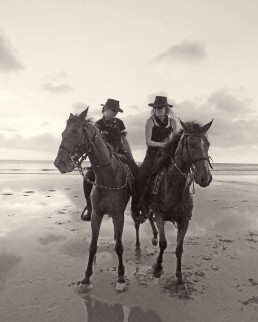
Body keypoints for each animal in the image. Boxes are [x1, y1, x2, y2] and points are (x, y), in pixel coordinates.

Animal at [54, 108, 135, 292]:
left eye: (75, 131)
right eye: (63, 133)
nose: (59, 163)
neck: (108, 178)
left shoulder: (119, 215)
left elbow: (119, 247)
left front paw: (120, 278)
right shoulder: (96, 215)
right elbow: (92, 246)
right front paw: (86, 278)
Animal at [146, 119, 213, 284]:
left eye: (208, 144)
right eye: (191, 144)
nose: (205, 178)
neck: (174, 185)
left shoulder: (184, 220)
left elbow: (179, 248)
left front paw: (179, 274)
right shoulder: (160, 215)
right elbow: (163, 243)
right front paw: (158, 267)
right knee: (148, 217)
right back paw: (154, 237)